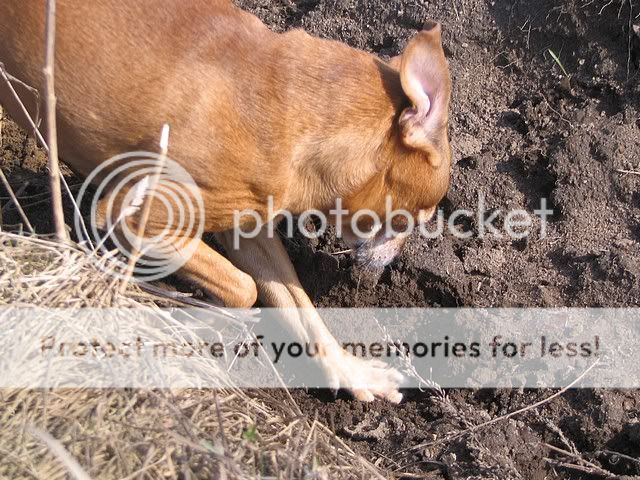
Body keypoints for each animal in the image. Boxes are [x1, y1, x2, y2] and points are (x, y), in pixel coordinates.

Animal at [0, 0, 452, 402]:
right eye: (419, 217)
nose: (390, 263)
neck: (298, 110)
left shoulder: (247, 225)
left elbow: (296, 302)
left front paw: (348, 370)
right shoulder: (128, 214)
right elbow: (245, 289)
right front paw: (192, 307)